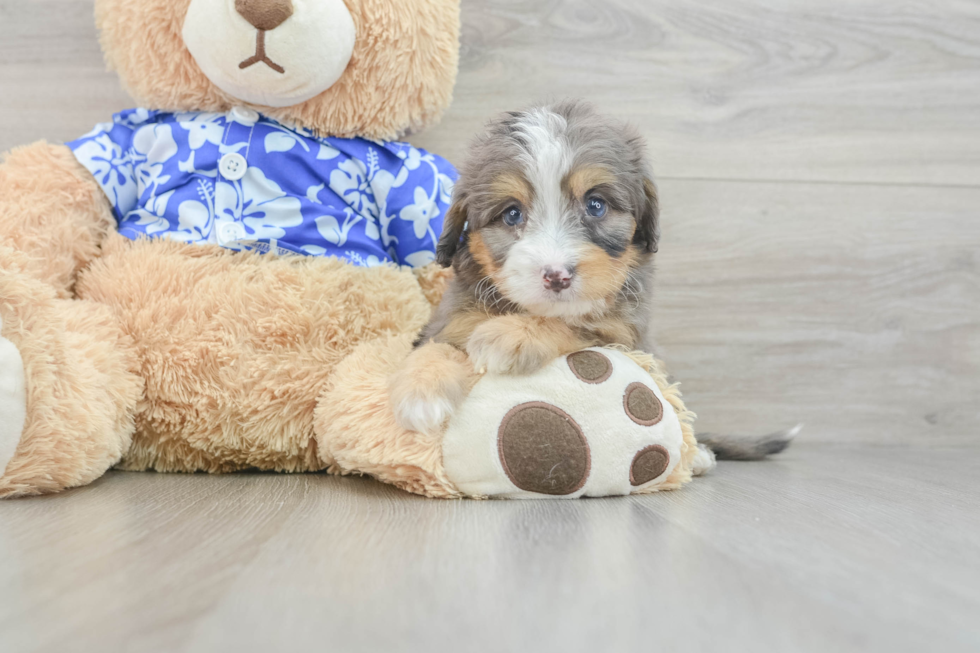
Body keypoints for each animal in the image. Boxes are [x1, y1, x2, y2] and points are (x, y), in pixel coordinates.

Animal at [390, 100, 660, 432]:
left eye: (596, 205)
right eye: (512, 214)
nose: (557, 276)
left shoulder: (625, 337)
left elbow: (572, 322)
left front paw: (512, 334)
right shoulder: (450, 318)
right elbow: (436, 343)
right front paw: (421, 389)